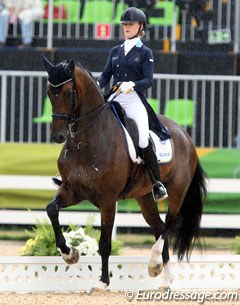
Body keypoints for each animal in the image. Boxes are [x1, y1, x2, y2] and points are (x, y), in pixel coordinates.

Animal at [41, 54, 206, 288]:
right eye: (49, 92)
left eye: (67, 93)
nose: (58, 136)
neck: (87, 141)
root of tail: (185, 135)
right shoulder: (73, 191)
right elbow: (51, 210)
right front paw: (69, 254)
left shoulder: (108, 200)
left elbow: (105, 242)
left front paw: (102, 282)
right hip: (144, 196)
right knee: (158, 226)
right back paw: (164, 276)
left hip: (177, 189)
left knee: (171, 222)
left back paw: (154, 263)